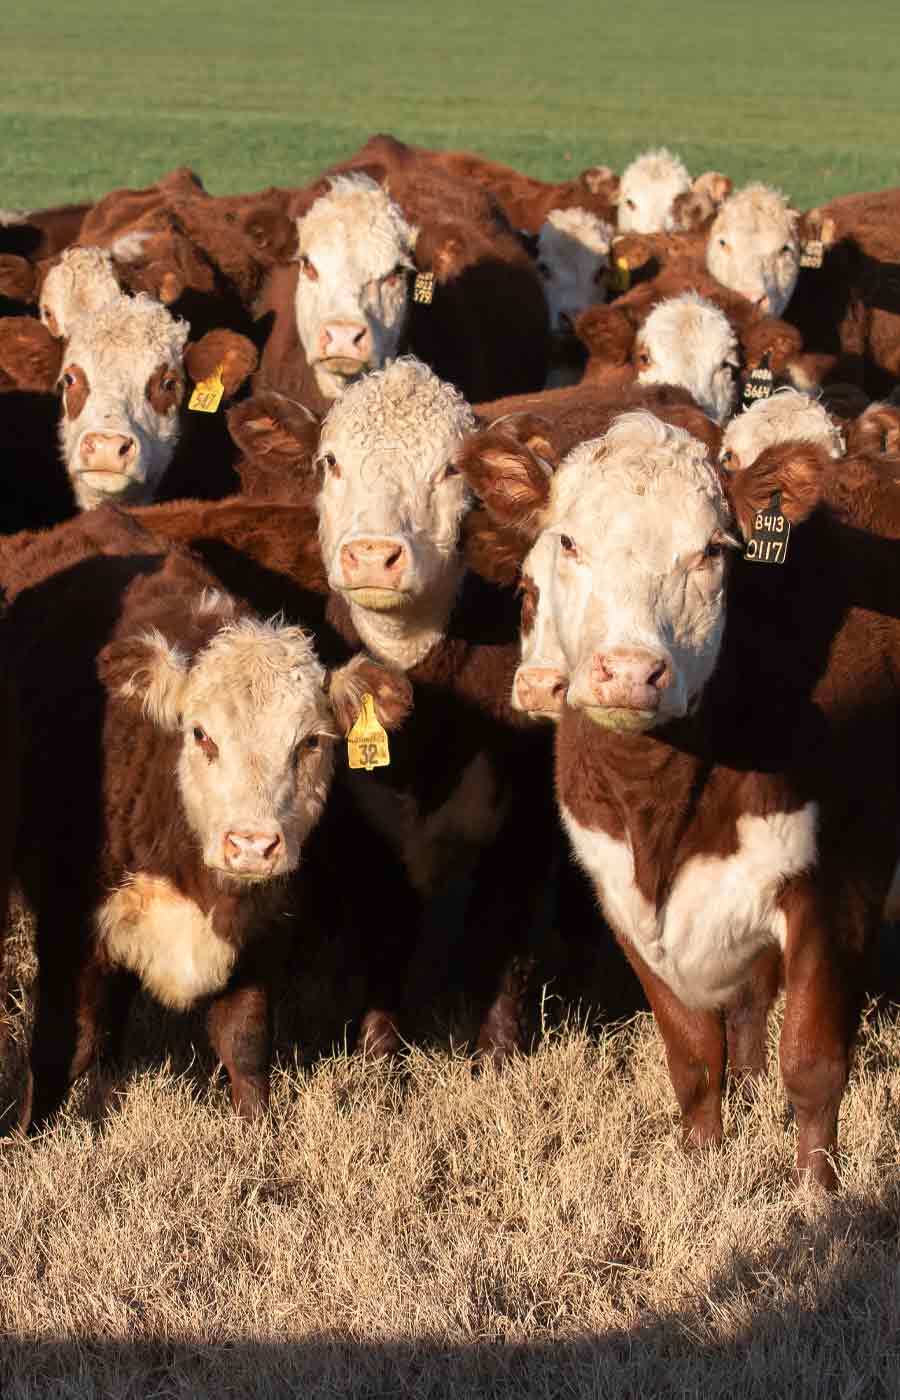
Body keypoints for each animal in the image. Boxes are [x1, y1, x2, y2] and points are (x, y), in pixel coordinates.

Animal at [1, 510, 411, 1132]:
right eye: (200, 733)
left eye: (311, 742)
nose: (252, 845)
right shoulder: (67, 918)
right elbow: (61, 1043)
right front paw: (30, 1136)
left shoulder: (261, 928)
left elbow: (245, 1041)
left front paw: (258, 1133)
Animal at [458, 408, 900, 1187]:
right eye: (568, 541)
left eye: (713, 552)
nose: (632, 671)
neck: (657, 810)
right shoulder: (620, 892)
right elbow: (693, 1056)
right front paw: (700, 1166)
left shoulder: (841, 879)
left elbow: (813, 1060)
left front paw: (818, 1192)